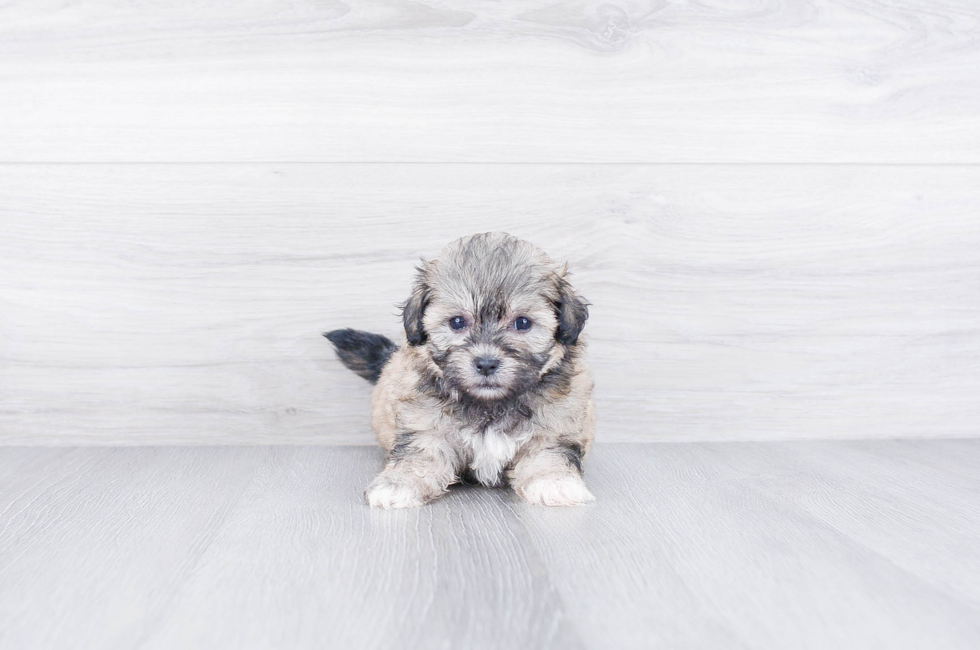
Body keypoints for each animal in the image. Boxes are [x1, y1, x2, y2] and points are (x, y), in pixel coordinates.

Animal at [326, 232, 592, 506]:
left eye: (522, 323)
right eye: (457, 322)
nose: (486, 363)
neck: (489, 405)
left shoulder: (554, 427)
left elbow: (547, 454)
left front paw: (554, 481)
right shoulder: (425, 427)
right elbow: (419, 456)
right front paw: (398, 484)